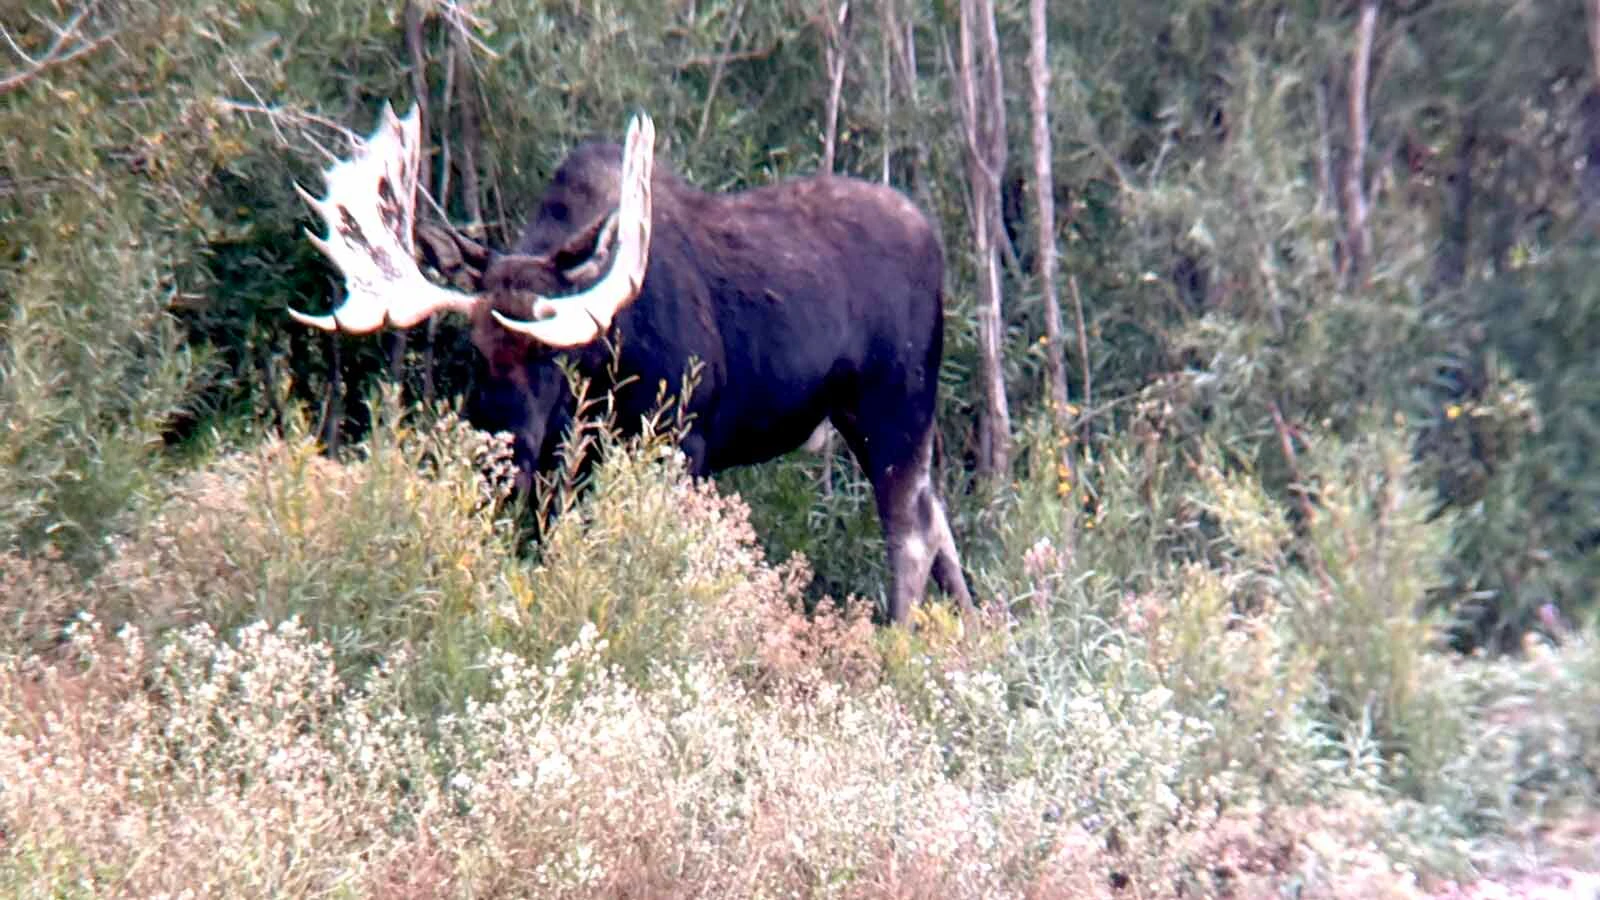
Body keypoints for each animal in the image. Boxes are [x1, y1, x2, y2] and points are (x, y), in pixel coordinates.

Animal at [289, 104, 972, 624]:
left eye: (554, 353)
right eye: (474, 347)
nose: (503, 448)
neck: (608, 370)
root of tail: (936, 239)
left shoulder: (684, 440)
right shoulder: (570, 458)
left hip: (896, 403)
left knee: (910, 531)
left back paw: (898, 642)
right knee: (937, 519)